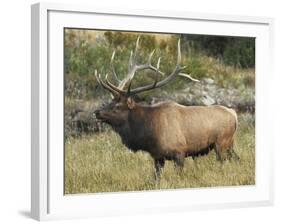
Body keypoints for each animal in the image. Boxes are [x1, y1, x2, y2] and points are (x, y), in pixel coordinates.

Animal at [93, 37, 237, 178]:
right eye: (110, 101)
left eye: (117, 106)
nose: (96, 112)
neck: (149, 133)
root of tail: (233, 114)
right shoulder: (157, 156)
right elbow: (157, 177)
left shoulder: (179, 152)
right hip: (230, 144)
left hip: (221, 143)